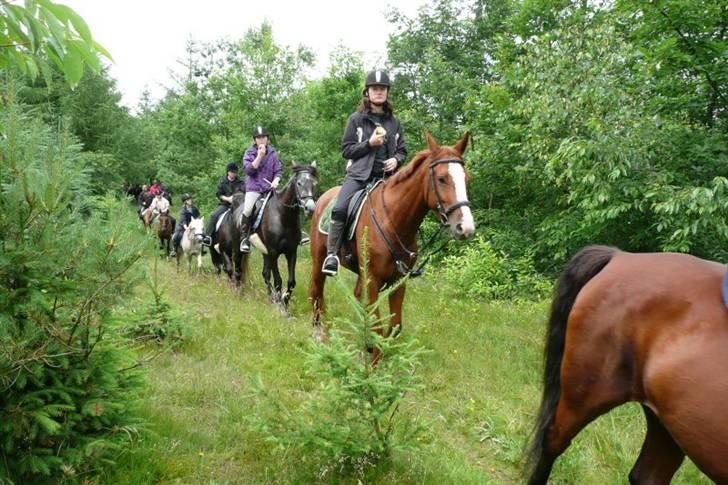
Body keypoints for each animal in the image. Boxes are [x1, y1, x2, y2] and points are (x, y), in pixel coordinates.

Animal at [247, 161, 318, 312]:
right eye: (299, 183)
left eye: (314, 183)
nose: (310, 208)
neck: (283, 216)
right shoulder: (273, 252)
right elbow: (278, 280)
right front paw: (280, 306)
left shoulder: (291, 252)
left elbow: (291, 281)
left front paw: (285, 301)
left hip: (265, 252)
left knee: (265, 273)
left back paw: (271, 297)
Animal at [308, 130, 474, 346]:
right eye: (442, 178)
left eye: (466, 178)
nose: (466, 227)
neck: (393, 221)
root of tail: (322, 199)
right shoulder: (372, 280)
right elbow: (378, 328)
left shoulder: (398, 282)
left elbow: (394, 326)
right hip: (319, 259)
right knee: (316, 290)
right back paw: (318, 332)